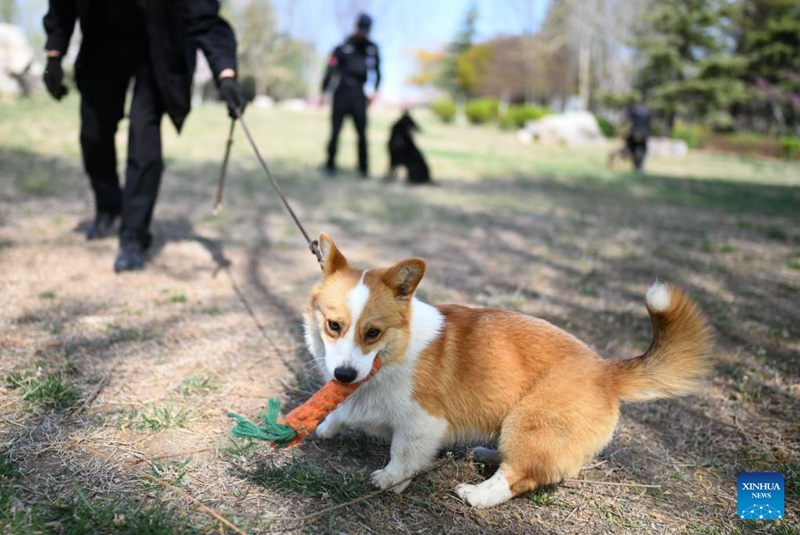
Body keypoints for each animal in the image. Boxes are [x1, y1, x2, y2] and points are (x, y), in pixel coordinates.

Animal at [302, 233, 712, 506]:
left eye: (372, 332)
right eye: (334, 326)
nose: (343, 376)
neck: (393, 353)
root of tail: (607, 370)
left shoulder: (423, 423)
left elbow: (403, 454)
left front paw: (390, 480)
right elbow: (340, 412)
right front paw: (326, 426)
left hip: (529, 422)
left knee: (520, 475)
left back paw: (477, 494)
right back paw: (488, 454)